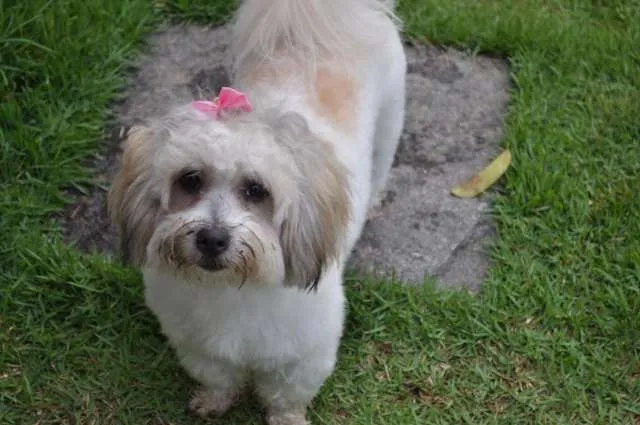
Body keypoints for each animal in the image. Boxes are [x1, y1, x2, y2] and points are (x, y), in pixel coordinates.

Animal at [107, 1, 402, 422]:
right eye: (190, 180)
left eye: (256, 190)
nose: (212, 238)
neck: (231, 288)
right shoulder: (197, 343)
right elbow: (218, 376)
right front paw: (213, 401)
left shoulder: (304, 355)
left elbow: (285, 395)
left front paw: (287, 418)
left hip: (391, 121)